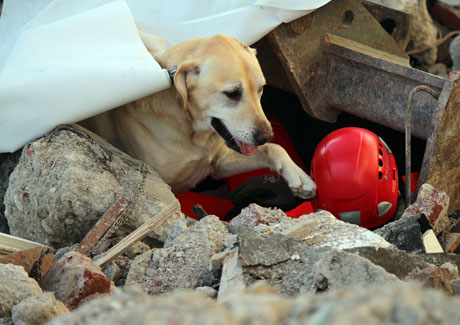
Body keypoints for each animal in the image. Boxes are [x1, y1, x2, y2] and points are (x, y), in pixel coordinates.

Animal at [81, 34, 314, 197]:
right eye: (232, 93)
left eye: (261, 89)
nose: (266, 135)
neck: (192, 131)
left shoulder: (219, 163)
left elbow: (273, 148)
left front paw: (298, 175)